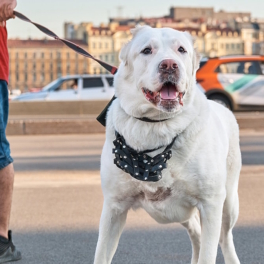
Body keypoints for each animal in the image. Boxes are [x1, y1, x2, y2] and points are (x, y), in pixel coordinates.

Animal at [93, 26, 241, 264]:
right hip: (179, 211)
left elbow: (209, 252)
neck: (155, 125)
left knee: (224, 238)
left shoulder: (211, 204)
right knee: (196, 232)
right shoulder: (113, 208)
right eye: (146, 50)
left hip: (228, 203)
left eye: (181, 49)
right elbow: (101, 254)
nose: (170, 65)